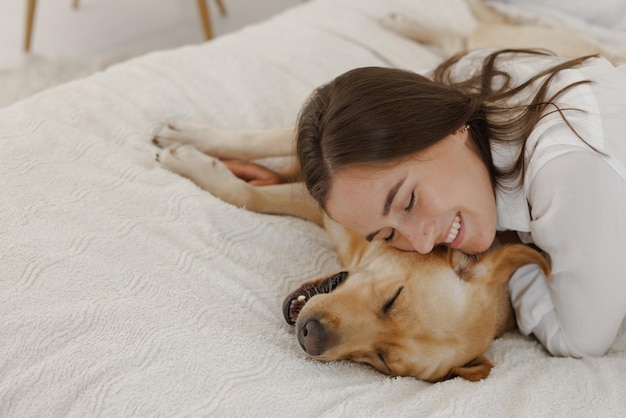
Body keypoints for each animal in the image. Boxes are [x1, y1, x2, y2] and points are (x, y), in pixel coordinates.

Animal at [154, 125, 548, 380]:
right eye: (393, 298)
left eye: (383, 361)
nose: (310, 336)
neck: (359, 249)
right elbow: (257, 146)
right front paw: (185, 146)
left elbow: (249, 195)